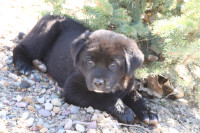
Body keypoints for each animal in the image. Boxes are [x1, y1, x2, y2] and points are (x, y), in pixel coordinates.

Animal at [13, 15, 159, 125]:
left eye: (113, 65)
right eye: (89, 62)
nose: (98, 83)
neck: (117, 85)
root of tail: (49, 15)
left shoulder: (128, 85)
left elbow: (137, 97)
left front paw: (148, 112)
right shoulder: (73, 89)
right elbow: (101, 97)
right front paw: (124, 111)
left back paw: (40, 64)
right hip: (44, 33)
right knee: (20, 47)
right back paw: (22, 65)